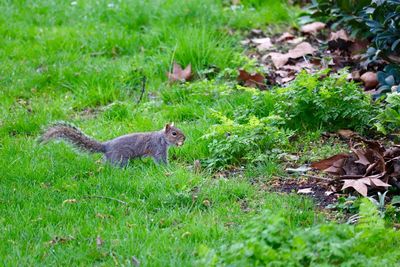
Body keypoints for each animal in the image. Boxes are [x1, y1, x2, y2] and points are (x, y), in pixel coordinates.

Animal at [39, 122, 186, 168]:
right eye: (174, 133)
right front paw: (168, 168)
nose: (184, 138)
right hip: (121, 158)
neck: (161, 137)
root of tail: (106, 146)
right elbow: (161, 160)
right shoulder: (158, 148)